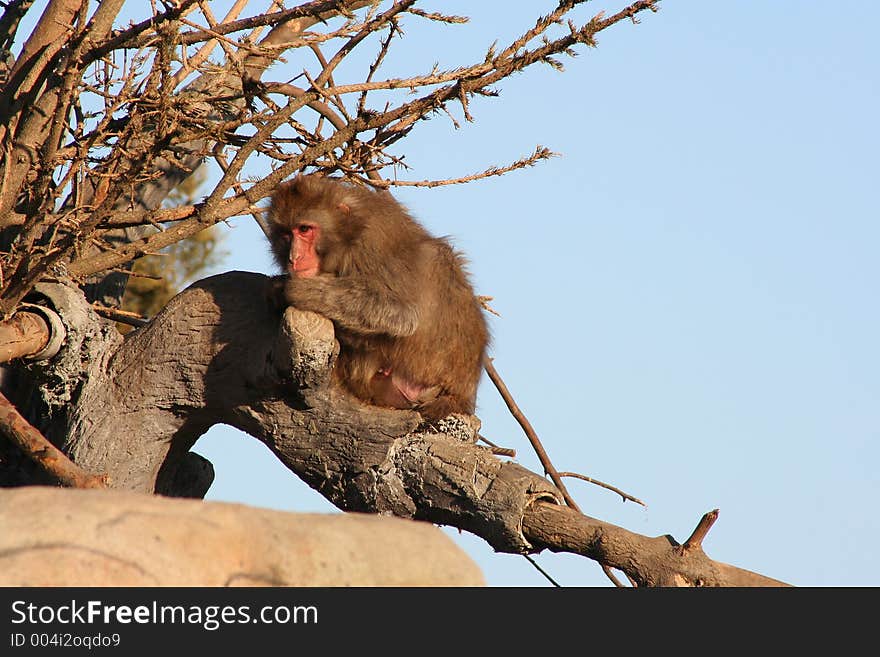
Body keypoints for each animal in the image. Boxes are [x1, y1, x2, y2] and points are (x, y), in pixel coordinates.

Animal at [268, 176, 488, 420]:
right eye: (286, 234)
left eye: (305, 229)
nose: (294, 258)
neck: (347, 235)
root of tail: (462, 395)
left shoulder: (368, 245)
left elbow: (401, 315)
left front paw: (292, 289)